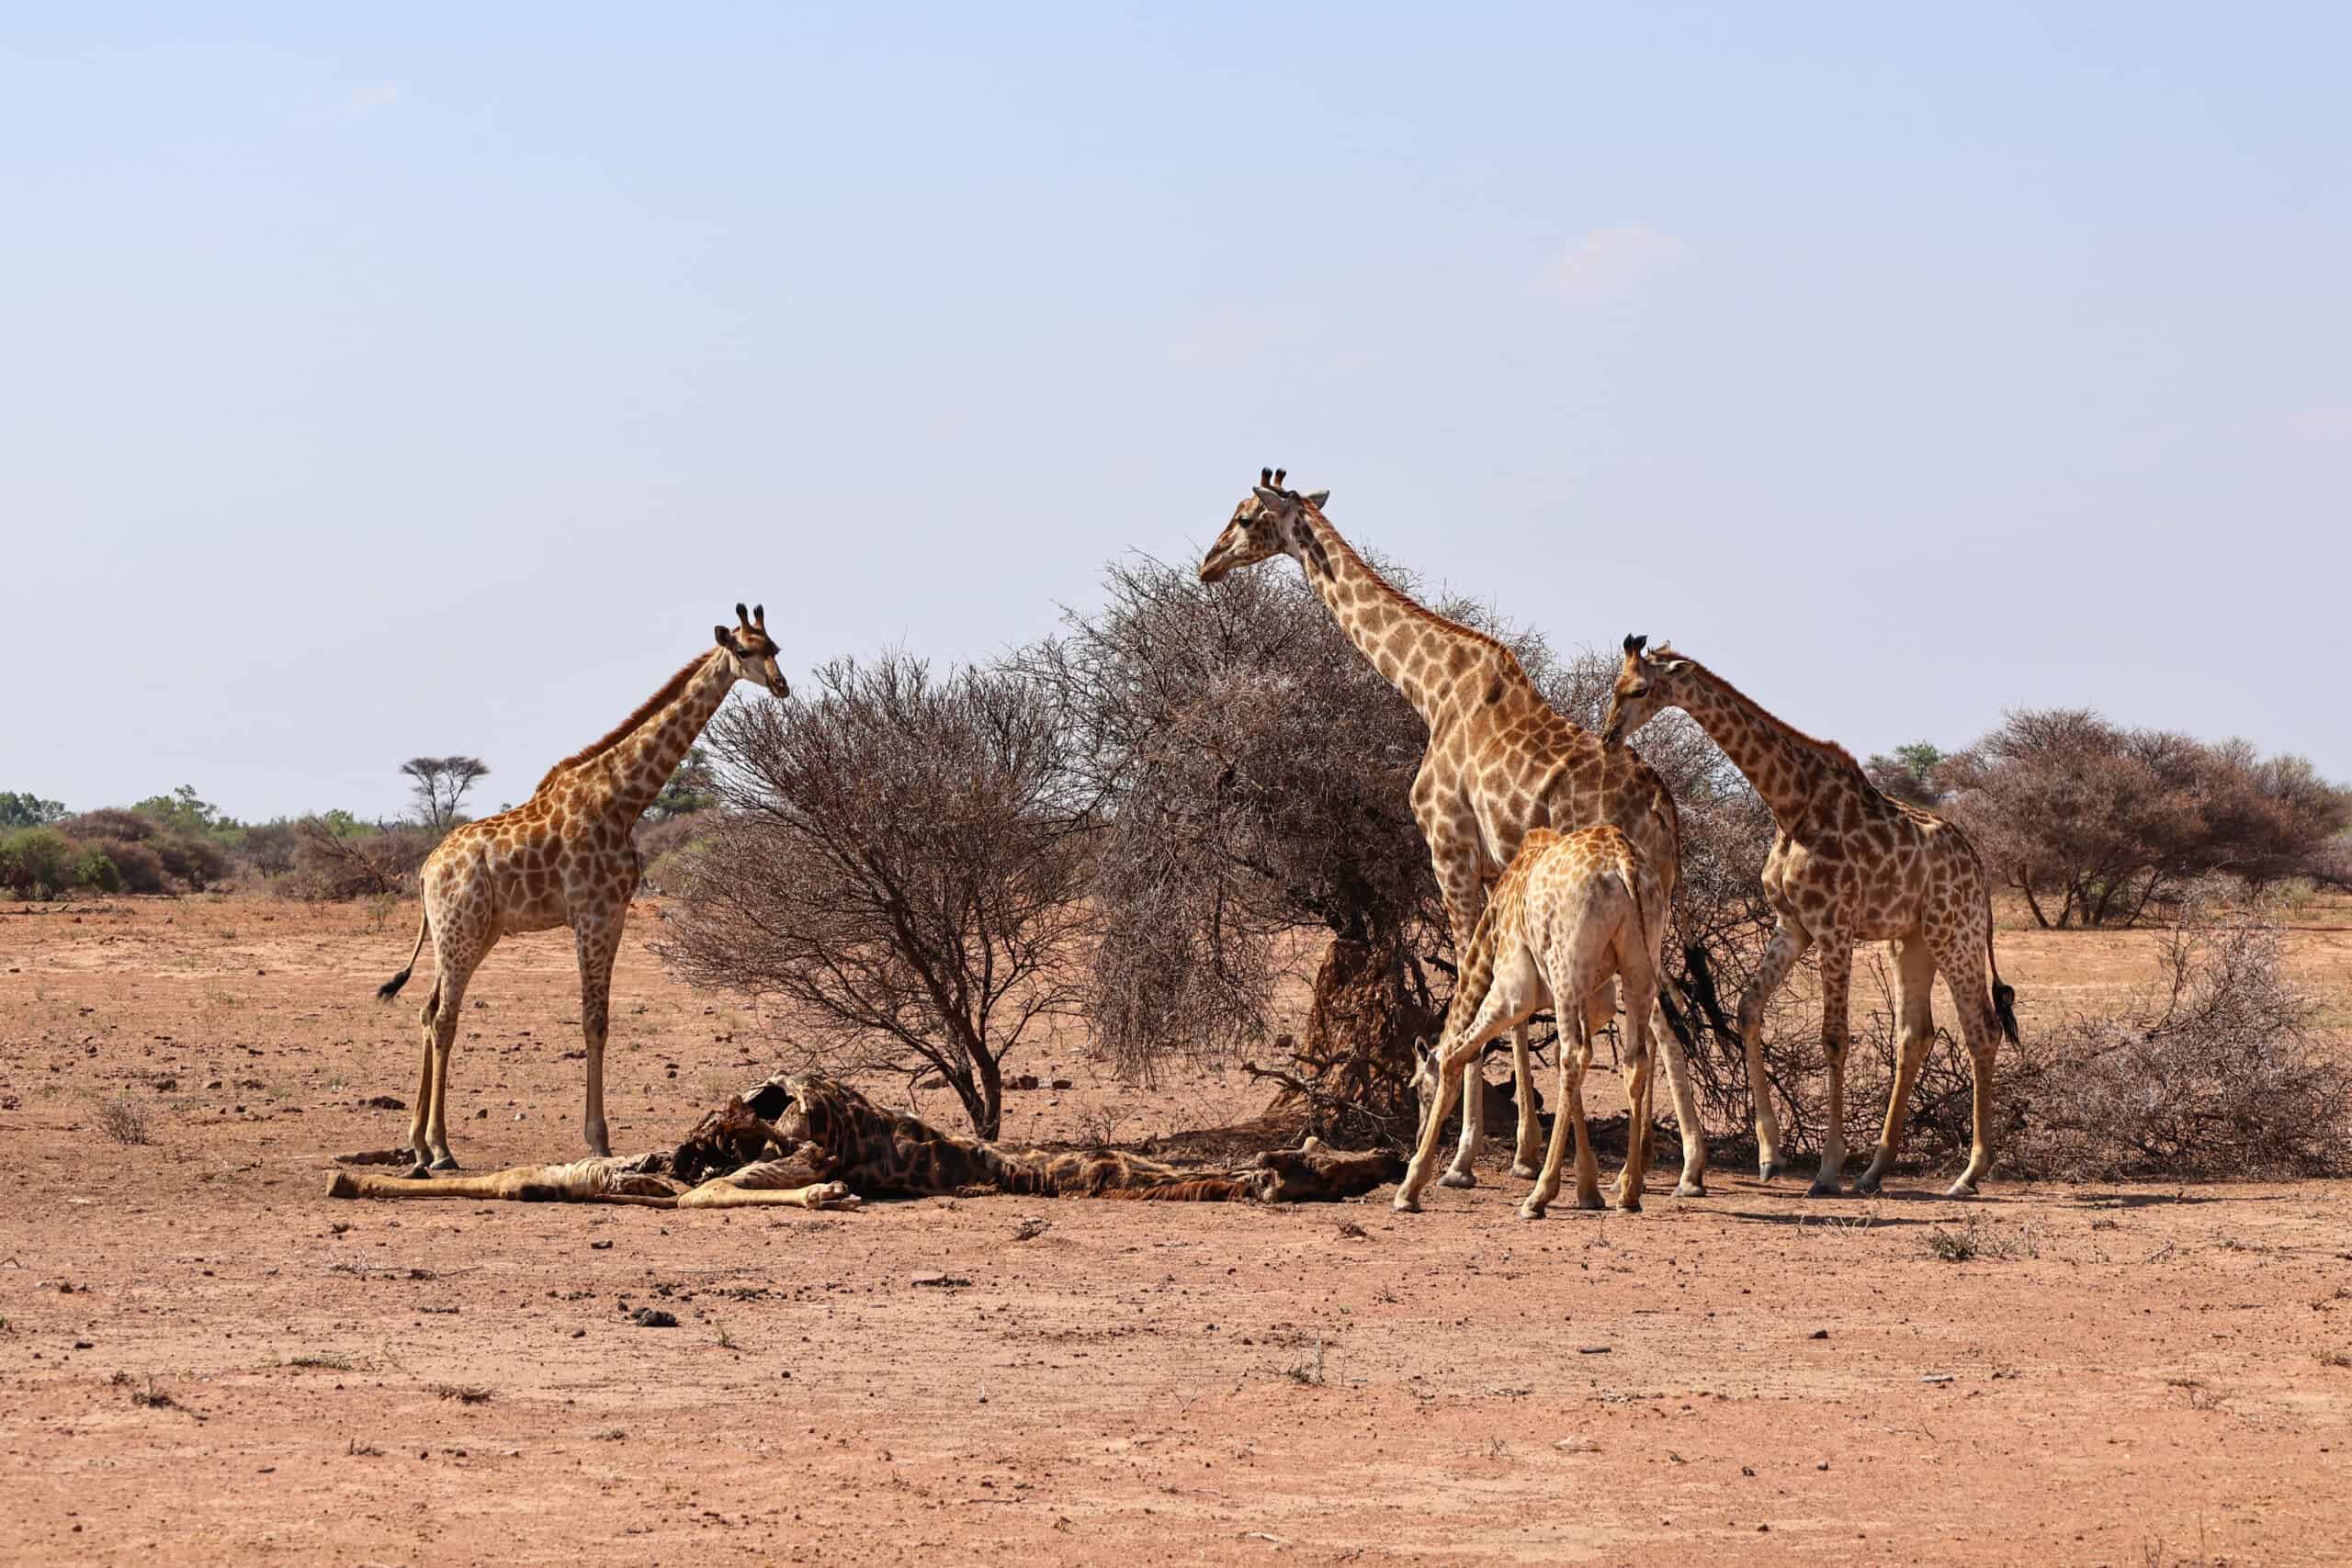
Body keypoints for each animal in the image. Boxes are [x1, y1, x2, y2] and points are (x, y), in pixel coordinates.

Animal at [375, 604, 788, 1178]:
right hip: (460, 929)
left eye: (777, 648)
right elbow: (591, 1019)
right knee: (443, 1017)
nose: (782, 686)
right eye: (745, 650)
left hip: (474, 932)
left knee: (427, 1010)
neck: (624, 800)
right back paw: (440, 1148)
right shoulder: (590, 912)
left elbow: (604, 1021)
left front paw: (601, 1137)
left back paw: (417, 1144)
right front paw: (598, 1140)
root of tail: (425, 869)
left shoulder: (614, 913)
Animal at [1394, 825, 1668, 1217]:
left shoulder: (1514, 988)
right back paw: (1629, 1192)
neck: (1493, 922)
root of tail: (1624, 861)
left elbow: (1453, 1055)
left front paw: (1410, 1187)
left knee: (1575, 1055)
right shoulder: (1596, 999)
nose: (1416, 1136)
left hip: (1569, 966)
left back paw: (1539, 1196)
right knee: (1631, 1061)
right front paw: (1588, 1188)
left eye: (1416, 1086)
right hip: (1638, 966)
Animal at [1602, 636, 2021, 1197]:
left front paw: (1825, 1171)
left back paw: (1969, 1173)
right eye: (1616, 685)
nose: (1609, 736)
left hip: (1955, 931)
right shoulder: (1792, 925)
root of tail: (1978, 865)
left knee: (1982, 1028)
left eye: (1642, 689)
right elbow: (1747, 1009)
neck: (1791, 805)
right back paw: (1874, 1171)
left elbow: (1834, 1038)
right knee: (1915, 1034)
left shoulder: (1833, 927)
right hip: (1910, 941)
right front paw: (1770, 1154)